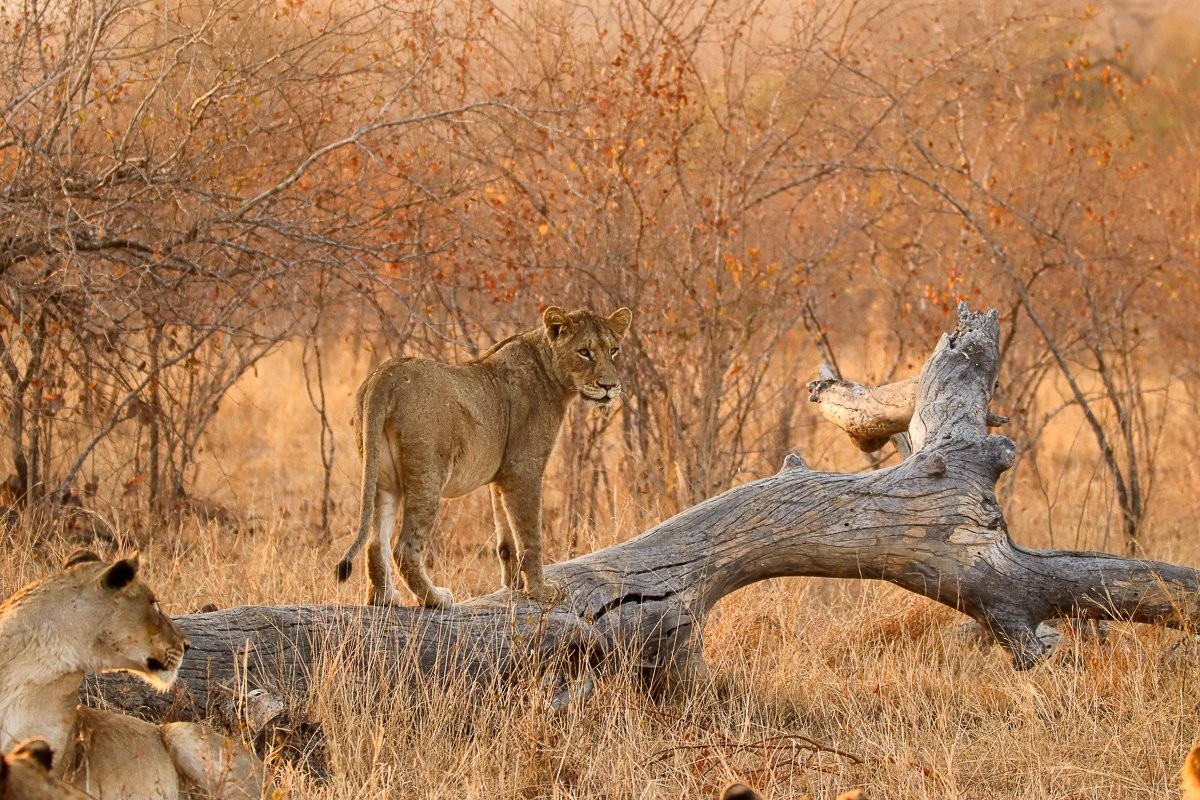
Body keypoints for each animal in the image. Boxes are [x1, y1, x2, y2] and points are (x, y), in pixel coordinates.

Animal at [337, 305, 632, 608]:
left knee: (375, 542)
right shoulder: (524, 468)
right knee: (404, 548)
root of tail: (384, 376)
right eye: (584, 352)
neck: (550, 372)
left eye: (613, 350)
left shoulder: (502, 475)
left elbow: (506, 538)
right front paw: (540, 591)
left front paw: (514, 586)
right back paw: (435, 599)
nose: (609, 386)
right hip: (427, 476)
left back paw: (383, 598)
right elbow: (530, 536)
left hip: (381, 477)